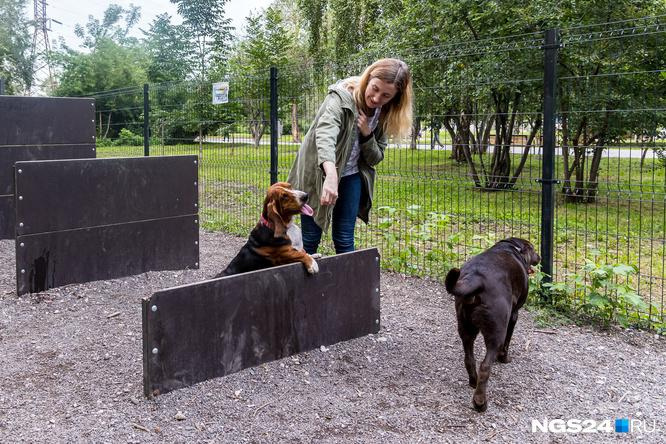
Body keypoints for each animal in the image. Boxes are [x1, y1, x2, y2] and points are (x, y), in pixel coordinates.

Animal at [440, 238, 540, 412]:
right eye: (533, 249)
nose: (539, 257)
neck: (512, 248)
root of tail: (476, 279)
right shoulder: (514, 314)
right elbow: (507, 342)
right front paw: (504, 358)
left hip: (465, 327)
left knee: (469, 359)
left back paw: (473, 382)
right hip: (496, 331)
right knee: (485, 366)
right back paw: (480, 402)